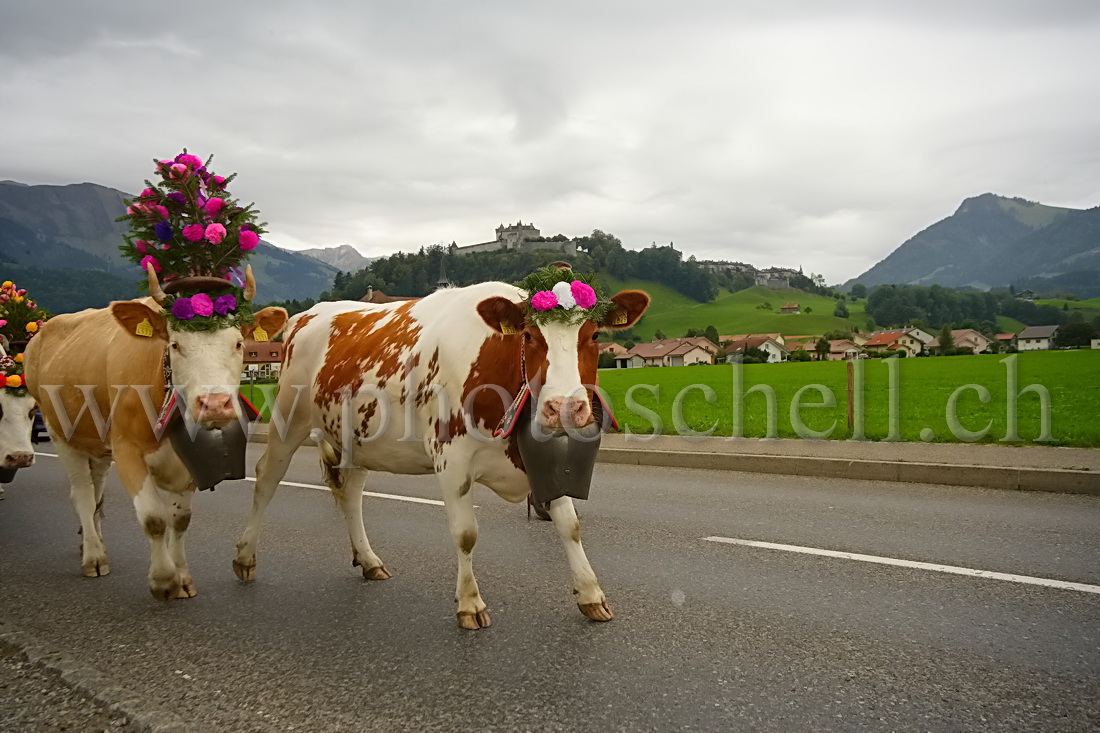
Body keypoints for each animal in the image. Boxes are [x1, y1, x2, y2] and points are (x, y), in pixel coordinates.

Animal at [24, 265, 288, 598]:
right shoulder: (126, 450)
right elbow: (153, 518)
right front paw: (163, 579)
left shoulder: (188, 462)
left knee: (96, 494)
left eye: (238, 343)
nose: (215, 405)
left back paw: (92, 541)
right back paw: (94, 557)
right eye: (175, 345)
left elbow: (180, 520)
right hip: (61, 433)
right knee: (82, 494)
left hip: (97, 445)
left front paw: (183, 577)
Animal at [231, 281, 642, 625]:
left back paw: (368, 560)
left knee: (351, 493)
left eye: (594, 335)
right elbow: (466, 533)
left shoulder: (543, 462)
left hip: (359, 438)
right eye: (529, 335)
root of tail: (307, 315)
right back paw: (245, 557)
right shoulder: (451, 459)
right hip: (288, 419)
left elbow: (569, 525)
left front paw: (591, 594)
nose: (565, 407)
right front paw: (470, 603)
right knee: (266, 479)